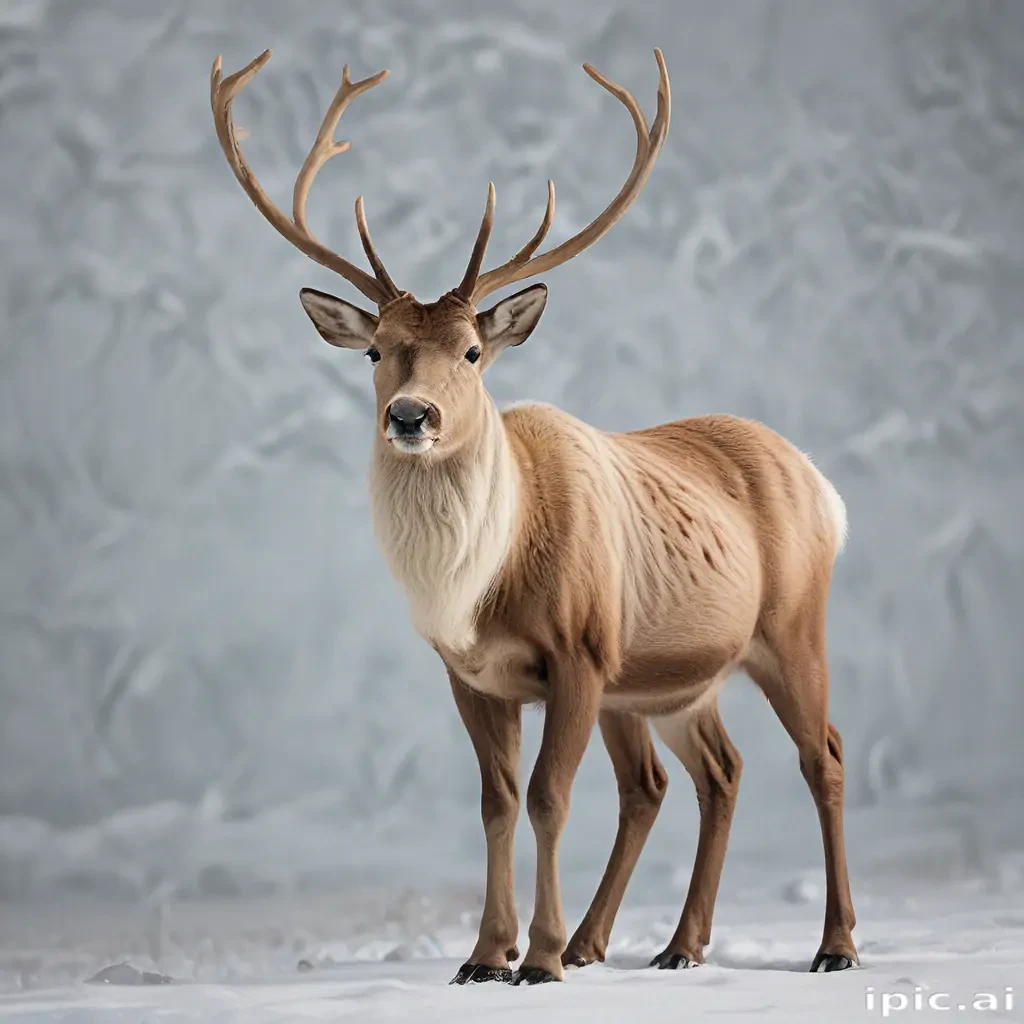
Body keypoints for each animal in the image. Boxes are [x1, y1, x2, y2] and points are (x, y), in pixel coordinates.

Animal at [210, 46, 859, 986]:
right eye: (375, 351)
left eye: (474, 351)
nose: (411, 415)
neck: (485, 581)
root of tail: (824, 486)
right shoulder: (472, 672)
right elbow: (498, 801)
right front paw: (488, 954)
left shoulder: (578, 649)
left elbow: (551, 796)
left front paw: (539, 958)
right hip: (666, 678)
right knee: (702, 774)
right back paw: (662, 945)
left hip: (789, 625)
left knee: (822, 756)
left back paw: (832, 944)